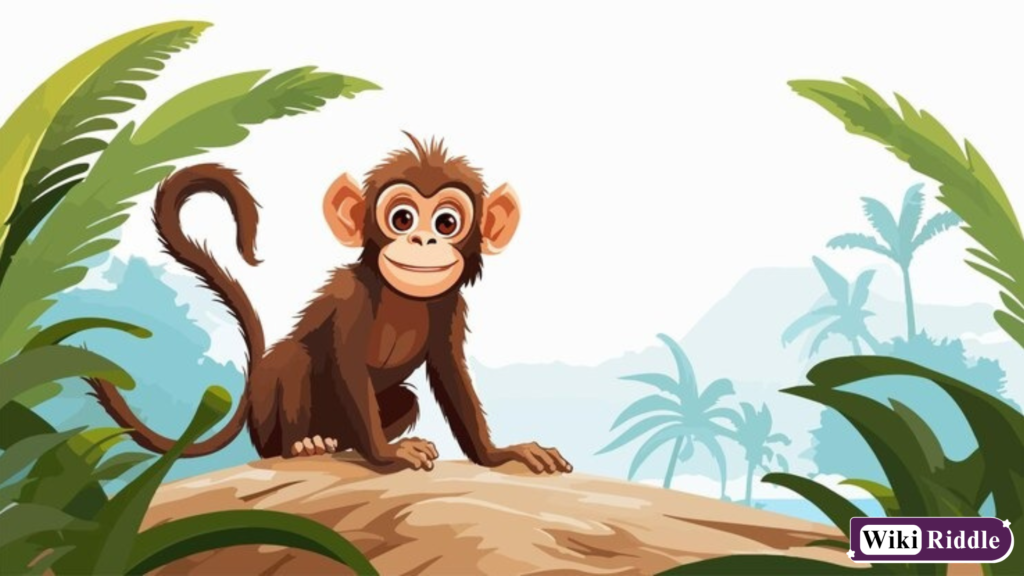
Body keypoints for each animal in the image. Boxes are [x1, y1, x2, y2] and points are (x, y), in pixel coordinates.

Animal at [87, 133, 572, 474]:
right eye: (402, 218)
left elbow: (452, 375)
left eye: (447, 222)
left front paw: (500, 454)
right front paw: (388, 456)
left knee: (406, 398)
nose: (424, 240)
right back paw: (305, 446)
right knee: (292, 359)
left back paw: (340, 445)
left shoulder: (450, 308)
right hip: (268, 420)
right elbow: (349, 364)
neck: (401, 297)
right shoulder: (350, 296)